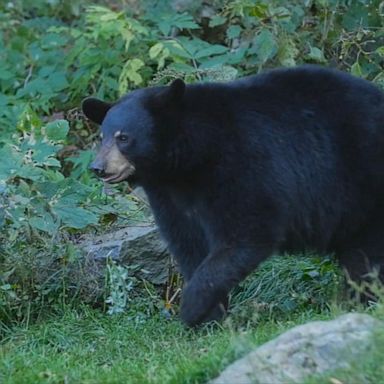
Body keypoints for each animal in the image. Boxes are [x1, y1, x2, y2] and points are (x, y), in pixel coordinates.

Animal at [82, 67, 384, 328]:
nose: (98, 167)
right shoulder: (168, 195)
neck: (189, 160)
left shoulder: (242, 164)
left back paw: (360, 298)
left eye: (123, 137)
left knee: (364, 255)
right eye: (102, 136)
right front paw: (210, 317)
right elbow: (188, 243)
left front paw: (190, 307)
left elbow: (245, 234)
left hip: (362, 177)